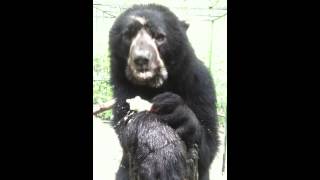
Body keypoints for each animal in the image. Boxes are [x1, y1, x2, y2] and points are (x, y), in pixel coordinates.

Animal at [109, 3, 219, 180]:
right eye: (128, 35)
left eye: (159, 36)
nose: (141, 59)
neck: (156, 85)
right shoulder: (121, 86)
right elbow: (125, 121)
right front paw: (161, 162)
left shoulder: (199, 83)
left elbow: (209, 143)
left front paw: (175, 109)